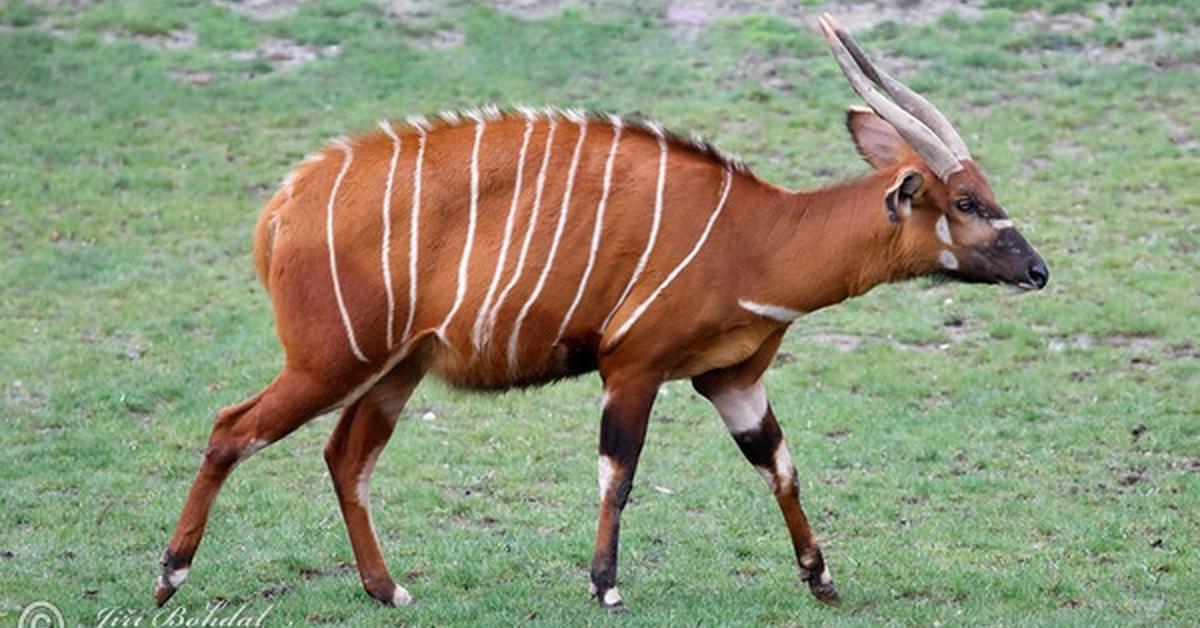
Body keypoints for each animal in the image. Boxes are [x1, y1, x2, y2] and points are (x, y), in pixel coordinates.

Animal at [154, 14, 1046, 612]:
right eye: (966, 201)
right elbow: (619, 472)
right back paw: (170, 576)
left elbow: (780, 466)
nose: (1037, 269)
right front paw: (606, 587)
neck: (756, 237)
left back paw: (388, 590)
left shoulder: (733, 379)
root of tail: (281, 207)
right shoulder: (634, 367)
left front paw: (821, 579)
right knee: (233, 428)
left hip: (394, 369)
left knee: (346, 457)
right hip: (330, 359)